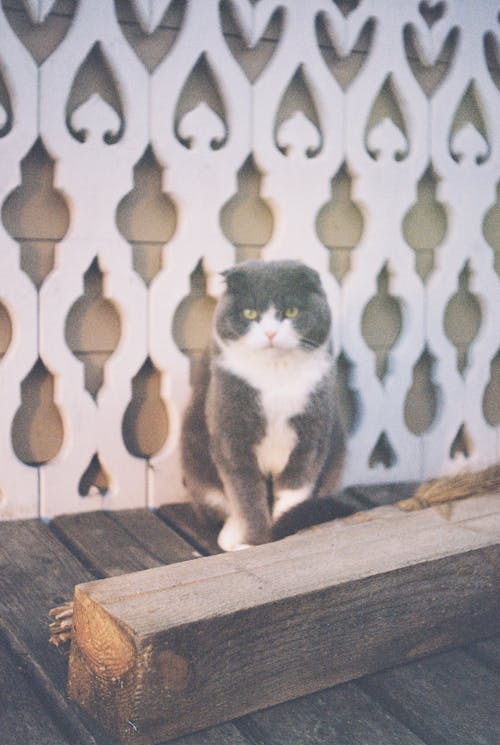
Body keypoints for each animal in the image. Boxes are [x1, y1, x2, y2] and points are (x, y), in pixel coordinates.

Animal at [180, 258, 348, 548]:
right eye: (250, 313)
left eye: (291, 310)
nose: (270, 333)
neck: (275, 374)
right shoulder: (231, 436)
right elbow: (247, 497)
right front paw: (256, 542)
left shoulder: (311, 434)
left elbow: (294, 489)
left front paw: (283, 531)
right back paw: (231, 536)